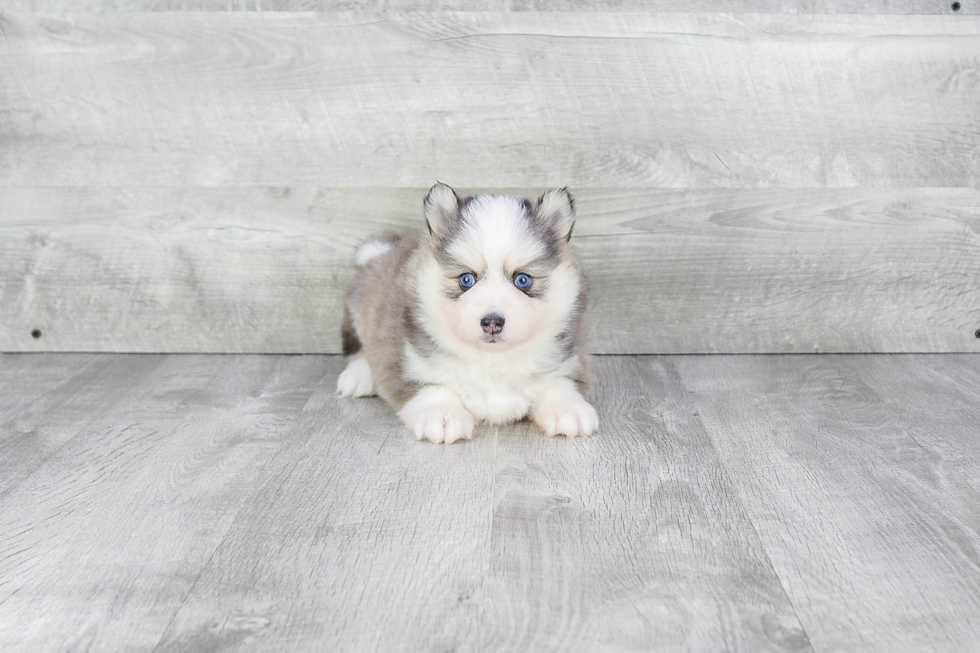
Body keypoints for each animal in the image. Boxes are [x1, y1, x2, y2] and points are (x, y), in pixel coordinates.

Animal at [336, 181, 596, 440]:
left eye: (523, 280)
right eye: (466, 279)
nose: (492, 322)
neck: (493, 361)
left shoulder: (569, 361)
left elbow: (560, 383)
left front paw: (567, 409)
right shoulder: (405, 362)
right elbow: (429, 387)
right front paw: (442, 414)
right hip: (358, 310)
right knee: (358, 350)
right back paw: (358, 376)